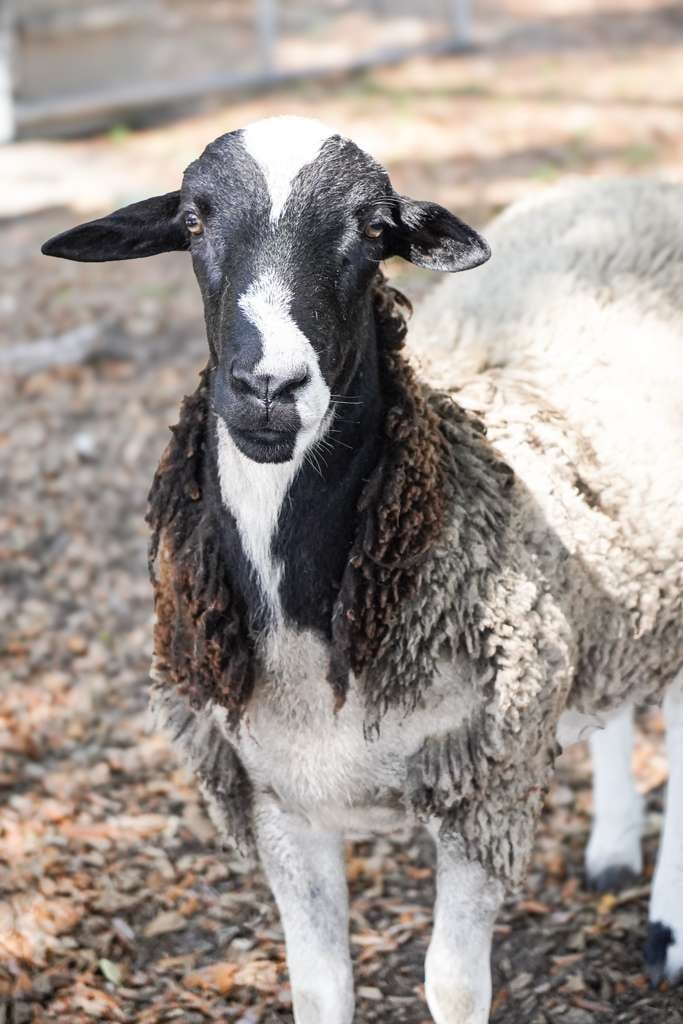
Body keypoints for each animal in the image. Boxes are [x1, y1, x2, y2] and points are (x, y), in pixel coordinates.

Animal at [42, 118, 683, 1024]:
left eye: (375, 232)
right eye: (193, 223)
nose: (267, 387)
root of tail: (624, 186)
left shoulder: (484, 786)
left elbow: (451, 984)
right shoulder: (277, 798)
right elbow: (319, 984)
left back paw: (665, 931)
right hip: (621, 573)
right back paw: (612, 851)